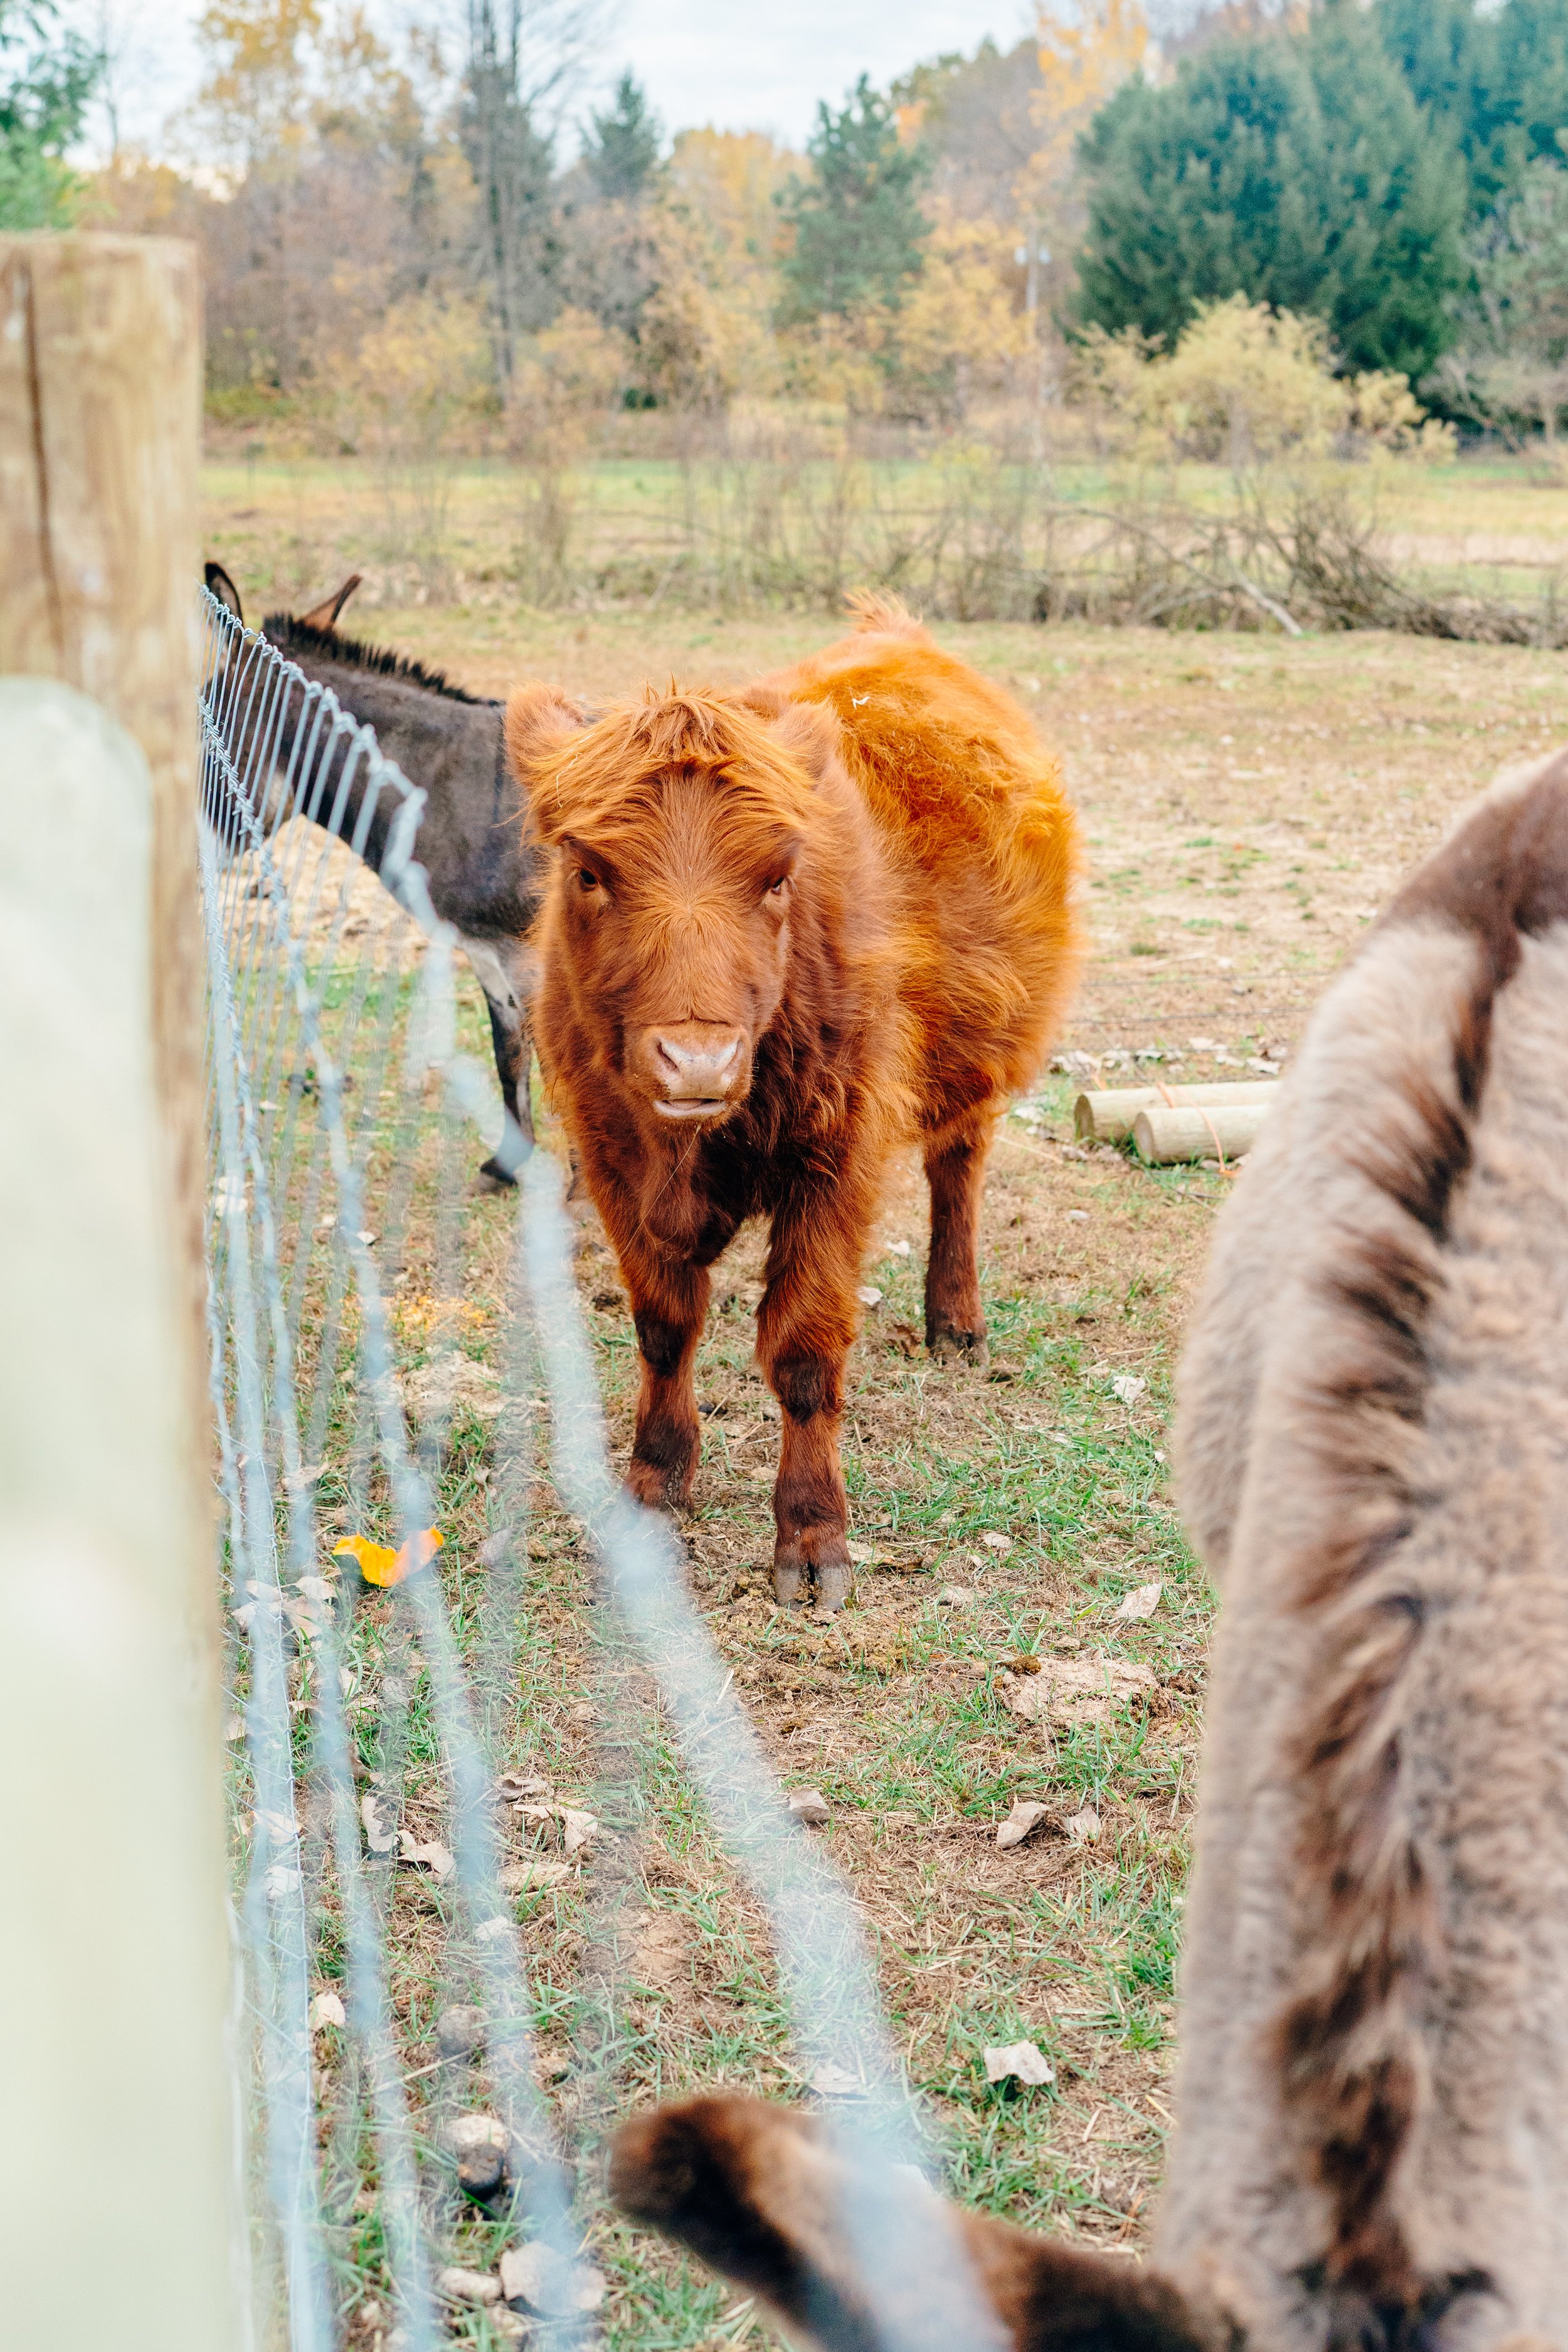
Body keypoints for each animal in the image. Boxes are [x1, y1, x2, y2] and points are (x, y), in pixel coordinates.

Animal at [504, 594, 1082, 1610]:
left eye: (777, 877)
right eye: (589, 873)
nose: (697, 1061)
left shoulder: (837, 1157)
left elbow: (804, 1351)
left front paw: (812, 1536)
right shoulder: (609, 1158)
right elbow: (664, 1328)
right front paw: (653, 1487)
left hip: (981, 1056)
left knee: (958, 1170)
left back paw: (955, 1321)